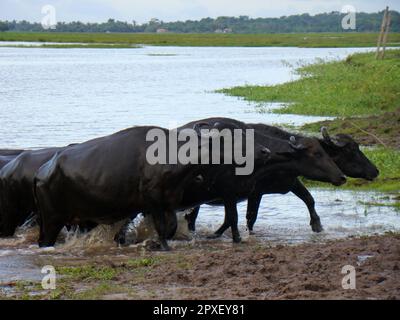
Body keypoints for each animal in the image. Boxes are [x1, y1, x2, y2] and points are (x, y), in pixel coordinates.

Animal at [34, 124, 270, 250]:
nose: (266, 151)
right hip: (53, 218)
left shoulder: (169, 202)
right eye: (234, 140)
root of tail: (42, 171)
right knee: (46, 240)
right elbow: (161, 226)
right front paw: (163, 246)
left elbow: (171, 225)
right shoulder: (153, 201)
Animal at [185, 124, 378, 236]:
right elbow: (251, 217)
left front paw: (317, 224)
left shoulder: (291, 181)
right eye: (351, 149)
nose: (375, 171)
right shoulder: (255, 192)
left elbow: (309, 198)